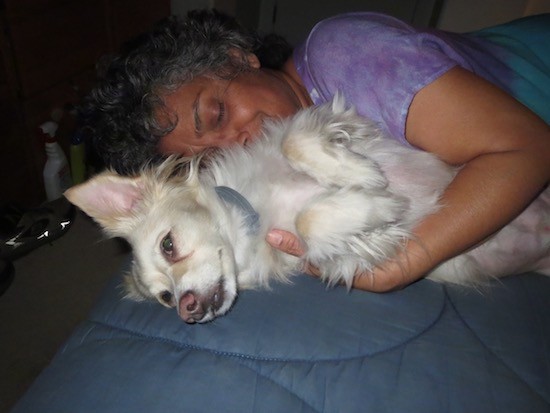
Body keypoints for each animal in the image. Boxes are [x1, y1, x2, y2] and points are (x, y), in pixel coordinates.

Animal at [66, 96, 550, 322]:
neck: (257, 216)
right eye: (164, 299)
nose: (186, 310)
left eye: (169, 245)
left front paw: (364, 175)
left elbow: (295, 143)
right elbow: (316, 220)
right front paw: (373, 203)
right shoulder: (336, 258)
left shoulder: (324, 123)